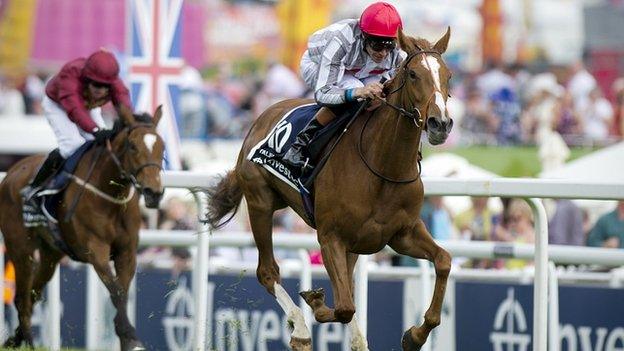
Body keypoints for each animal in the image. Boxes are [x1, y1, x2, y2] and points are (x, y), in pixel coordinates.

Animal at [0, 106, 166, 350]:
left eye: (162, 147)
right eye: (133, 146)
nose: (154, 193)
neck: (109, 195)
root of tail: (11, 173)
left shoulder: (127, 252)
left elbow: (123, 292)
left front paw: (126, 339)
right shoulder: (95, 249)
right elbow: (116, 292)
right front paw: (131, 337)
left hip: (51, 253)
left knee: (33, 292)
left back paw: (15, 339)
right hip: (21, 248)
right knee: (22, 298)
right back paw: (29, 342)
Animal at [207, 28, 450, 350]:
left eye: (448, 75)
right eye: (412, 74)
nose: (440, 124)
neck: (384, 168)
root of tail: (261, 118)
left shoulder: (403, 234)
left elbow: (443, 261)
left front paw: (415, 335)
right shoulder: (330, 237)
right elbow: (344, 307)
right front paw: (314, 302)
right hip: (260, 202)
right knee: (268, 272)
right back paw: (299, 329)